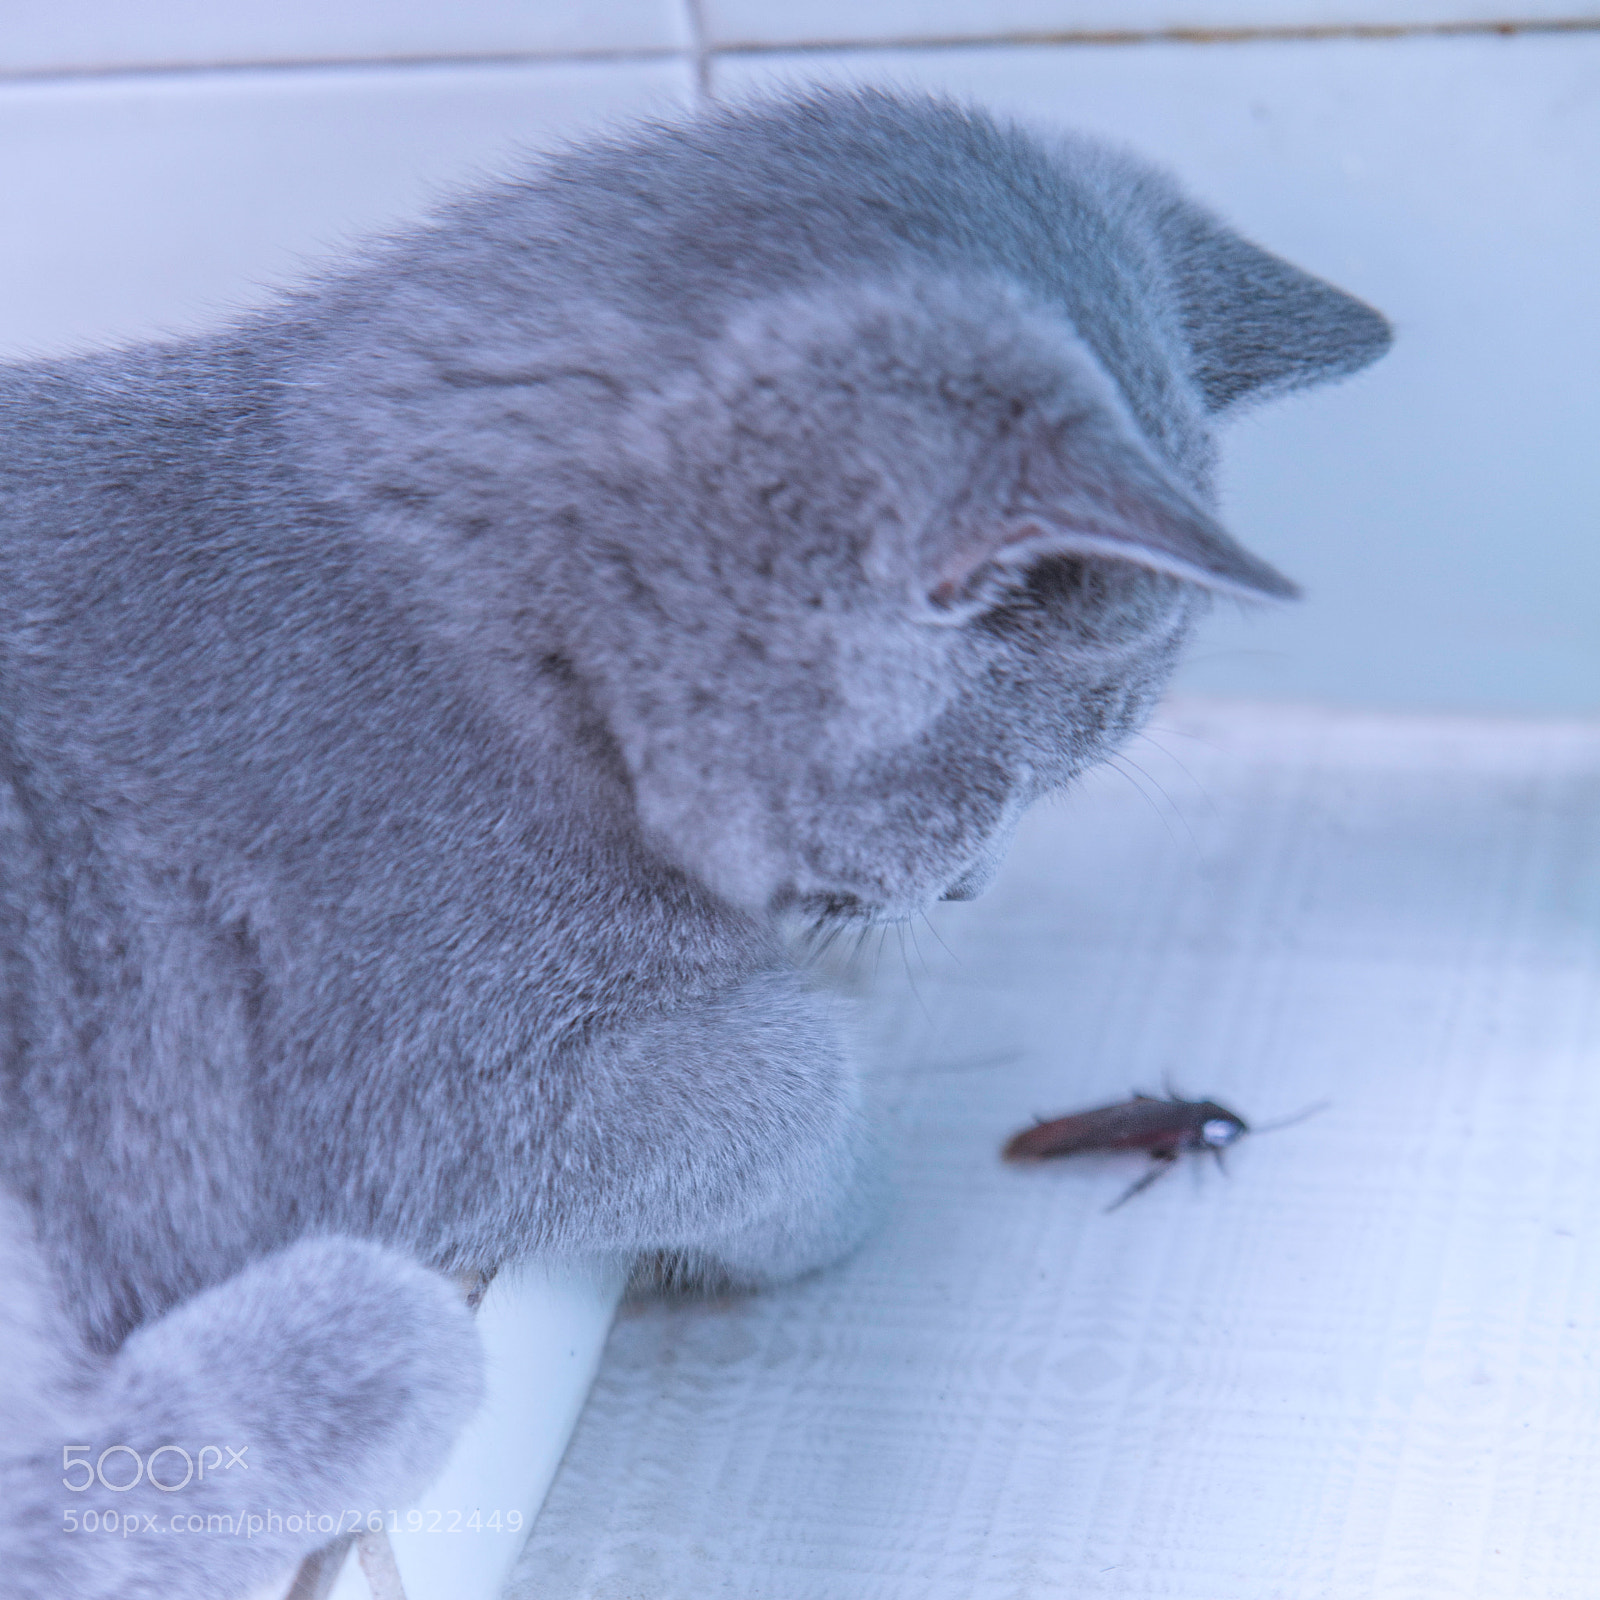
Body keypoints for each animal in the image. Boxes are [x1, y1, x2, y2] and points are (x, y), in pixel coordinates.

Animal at [0, 90, 1388, 1600]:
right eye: (1014, 776)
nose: (973, 883)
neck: (492, 660)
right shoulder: (411, 1096)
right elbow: (786, 1080)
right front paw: (839, 1193)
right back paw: (369, 1346)